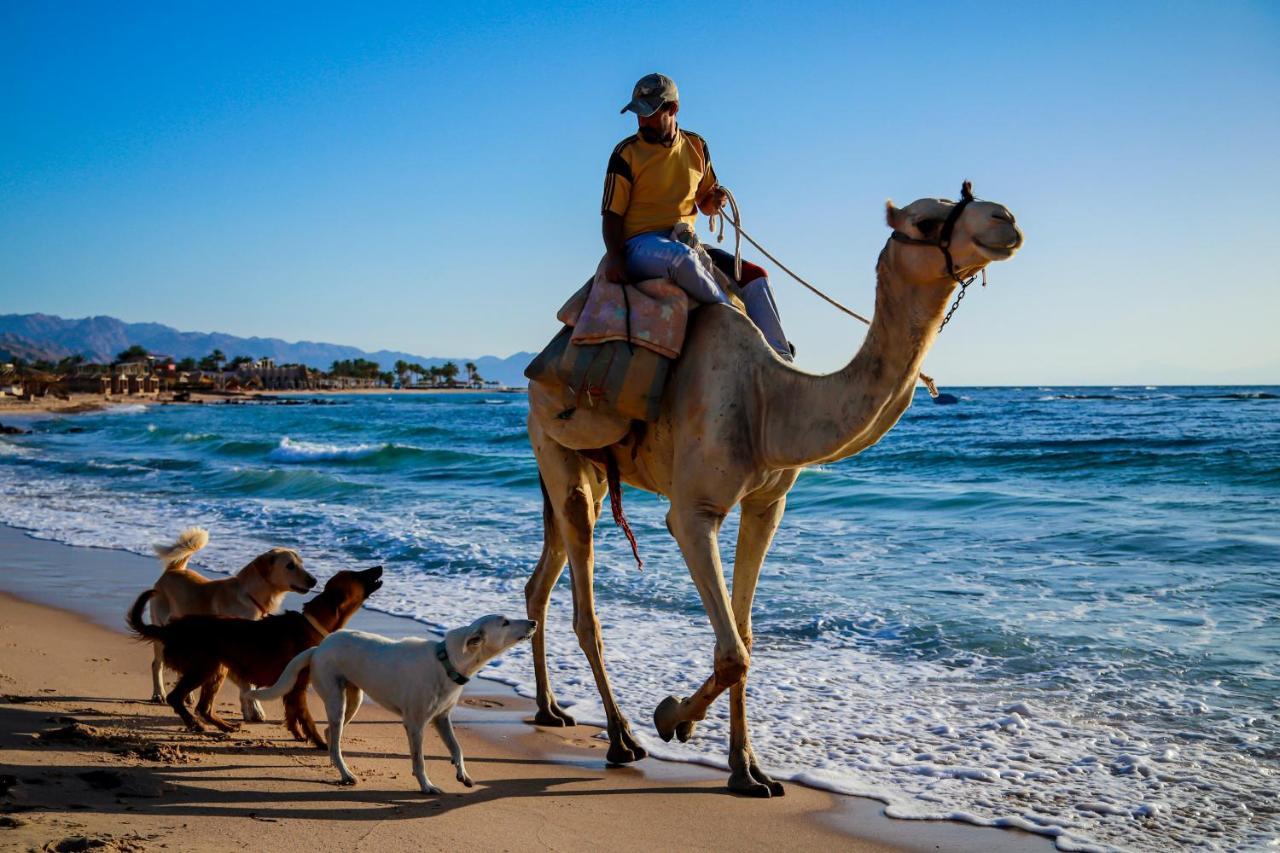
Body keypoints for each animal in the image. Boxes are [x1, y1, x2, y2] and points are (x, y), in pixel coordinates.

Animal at [127, 563, 381, 732]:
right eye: (357, 575)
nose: (379, 566)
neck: (313, 622)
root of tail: (171, 629)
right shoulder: (297, 684)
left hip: (216, 668)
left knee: (203, 706)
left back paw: (224, 726)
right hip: (204, 666)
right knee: (176, 697)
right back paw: (194, 723)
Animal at [143, 525, 314, 717]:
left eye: (301, 563)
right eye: (290, 565)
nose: (314, 581)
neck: (251, 596)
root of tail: (173, 570)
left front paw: (249, 708)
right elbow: (248, 684)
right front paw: (254, 709)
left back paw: (187, 696)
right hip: (161, 630)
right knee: (156, 664)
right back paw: (158, 693)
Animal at [249, 612, 535, 788]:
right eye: (505, 622)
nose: (533, 622)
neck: (448, 662)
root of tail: (318, 648)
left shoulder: (442, 719)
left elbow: (457, 748)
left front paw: (461, 773)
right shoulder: (415, 725)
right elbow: (419, 760)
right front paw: (426, 786)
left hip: (353, 699)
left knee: (331, 733)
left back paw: (337, 766)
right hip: (336, 699)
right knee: (335, 738)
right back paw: (346, 773)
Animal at [519, 183, 1018, 794]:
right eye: (925, 221)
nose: (1005, 219)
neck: (770, 398)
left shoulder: (767, 505)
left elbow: (745, 637)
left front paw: (747, 769)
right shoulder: (693, 511)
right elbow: (733, 651)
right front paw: (672, 719)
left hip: (584, 468)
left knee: (542, 580)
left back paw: (550, 709)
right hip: (553, 443)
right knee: (586, 611)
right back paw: (621, 738)